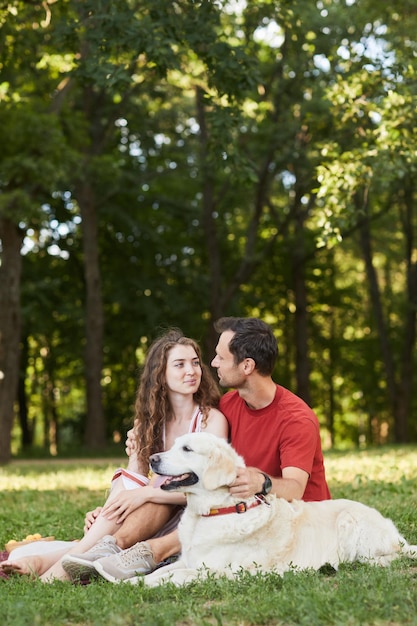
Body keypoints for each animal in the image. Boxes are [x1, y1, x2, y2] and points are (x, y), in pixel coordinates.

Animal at [136, 434, 412, 584]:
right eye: (175, 445)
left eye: (187, 449)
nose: (151, 458)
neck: (217, 509)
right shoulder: (187, 559)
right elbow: (159, 572)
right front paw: (133, 582)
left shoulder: (224, 571)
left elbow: (177, 576)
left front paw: (151, 584)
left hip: (350, 521)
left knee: (388, 556)